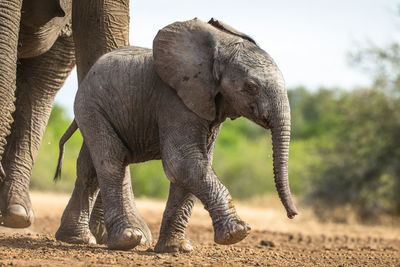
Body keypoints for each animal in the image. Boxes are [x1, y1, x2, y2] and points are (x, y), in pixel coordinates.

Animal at [54, 18, 296, 253]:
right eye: (251, 87)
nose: (292, 214)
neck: (219, 46)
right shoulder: (175, 99)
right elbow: (182, 162)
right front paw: (237, 233)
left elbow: (195, 164)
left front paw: (175, 249)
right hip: (91, 106)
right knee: (112, 159)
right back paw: (125, 239)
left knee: (90, 167)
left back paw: (76, 239)